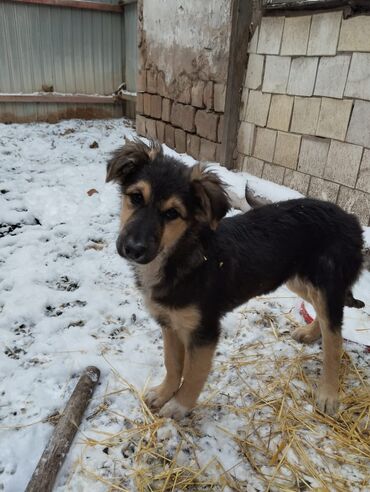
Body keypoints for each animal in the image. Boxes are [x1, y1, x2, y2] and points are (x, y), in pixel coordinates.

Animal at [107, 138, 364, 418]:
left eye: (172, 213)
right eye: (136, 197)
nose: (133, 249)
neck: (180, 255)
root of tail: (352, 220)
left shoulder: (204, 331)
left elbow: (193, 374)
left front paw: (179, 406)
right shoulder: (169, 322)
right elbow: (172, 364)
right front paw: (164, 393)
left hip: (326, 284)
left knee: (335, 340)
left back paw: (328, 393)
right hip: (299, 280)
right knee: (324, 315)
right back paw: (311, 333)